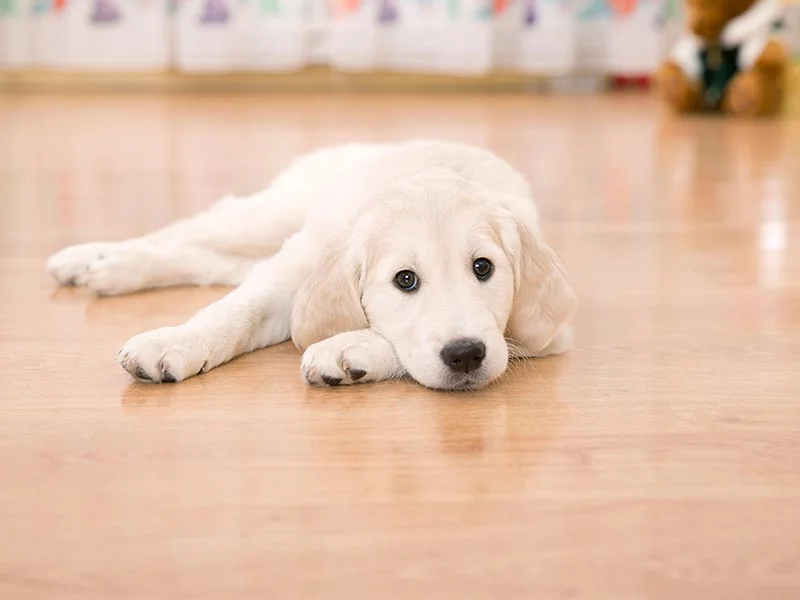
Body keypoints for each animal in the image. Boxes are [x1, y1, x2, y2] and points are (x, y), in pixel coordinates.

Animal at [45, 141, 576, 394]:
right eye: (405, 280)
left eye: (483, 268)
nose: (465, 355)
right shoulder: (292, 270)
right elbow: (235, 311)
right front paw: (176, 342)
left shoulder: (543, 333)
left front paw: (349, 349)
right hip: (271, 216)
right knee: (186, 232)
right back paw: (89, 259)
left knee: (201, 256)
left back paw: (109, 268)